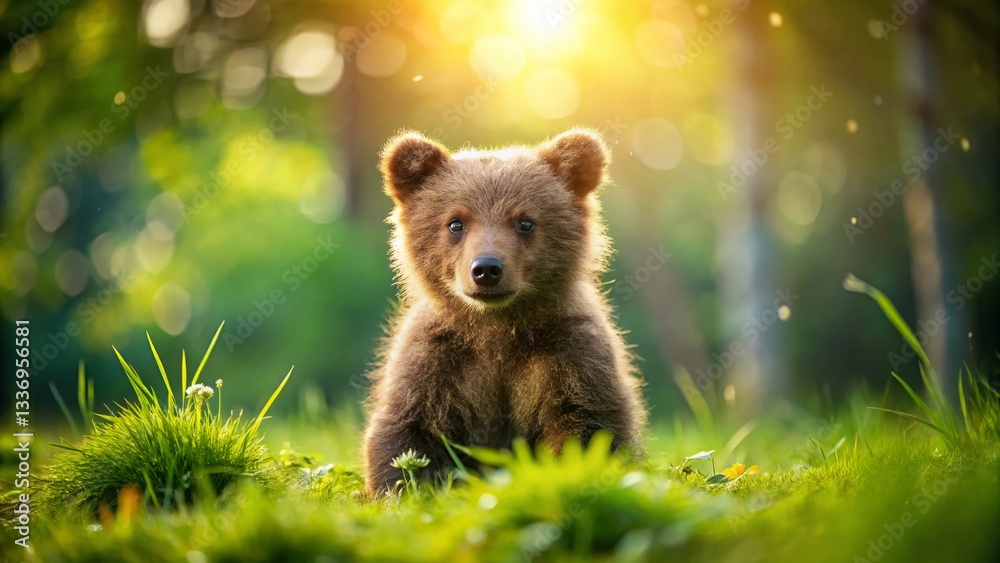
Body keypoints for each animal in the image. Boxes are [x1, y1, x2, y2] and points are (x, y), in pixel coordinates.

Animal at [362, 128, 646, 496]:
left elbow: (586, 422)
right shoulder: (435, 360)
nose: (486, 268)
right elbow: (407, 430)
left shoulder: (569, 351)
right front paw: (405, 489)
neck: (497, 325)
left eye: (525, 221)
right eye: (456, 223)